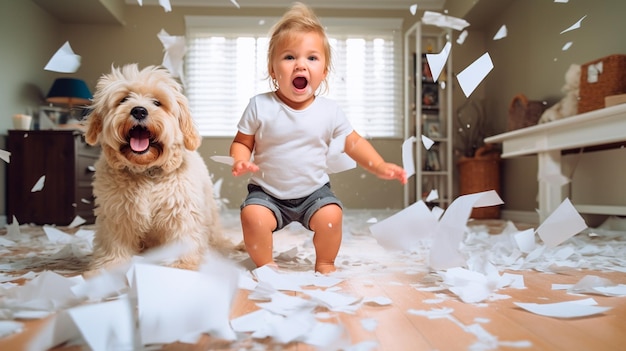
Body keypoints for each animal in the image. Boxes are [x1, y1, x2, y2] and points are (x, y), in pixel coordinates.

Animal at [84, 64, 227, 272]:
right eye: (124, 99)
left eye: (157, 103)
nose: (139, 111)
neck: (146, 171)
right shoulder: (118, 214)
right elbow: (115, 243)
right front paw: (111, 267)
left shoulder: (181, 213)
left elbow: (182, 239)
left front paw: (181, 266)